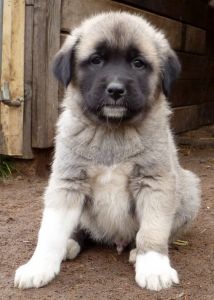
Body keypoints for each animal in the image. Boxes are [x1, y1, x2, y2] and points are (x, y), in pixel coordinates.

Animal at [14, 11, 201, 290]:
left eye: (138, 63)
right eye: (96, 60)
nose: (115, 90)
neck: (112, 131)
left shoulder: (155, 182)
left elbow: (154, 229)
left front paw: (153, 265)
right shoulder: (68, 182)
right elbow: (50, 231)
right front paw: (39, 265)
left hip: (188, 189)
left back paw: (135, 251)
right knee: (80, 229)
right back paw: (71, 243)